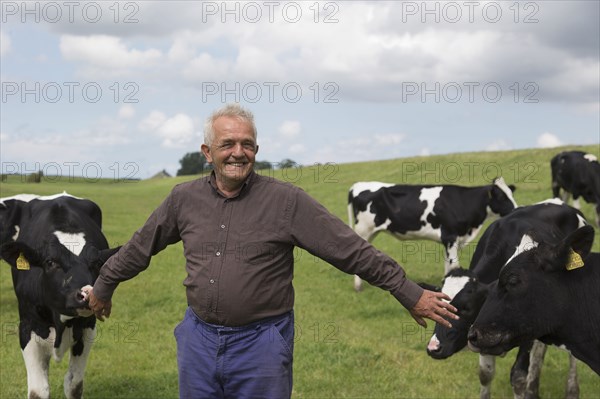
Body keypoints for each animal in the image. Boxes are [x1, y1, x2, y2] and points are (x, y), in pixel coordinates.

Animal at [0, 194, 119, 399]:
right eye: (50, 262)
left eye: (97, 264)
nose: (85, 294)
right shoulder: (27, 328)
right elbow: (38, 391)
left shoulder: (88, 328)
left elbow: (74, 385)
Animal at [346, 178, 516, 290]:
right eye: (501, 196)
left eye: (511, 194)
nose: (516, 208)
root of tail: (357, 185)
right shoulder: (450, 236)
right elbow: (453, 264)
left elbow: (448, 265)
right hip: (363, 229)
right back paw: (358, 287)